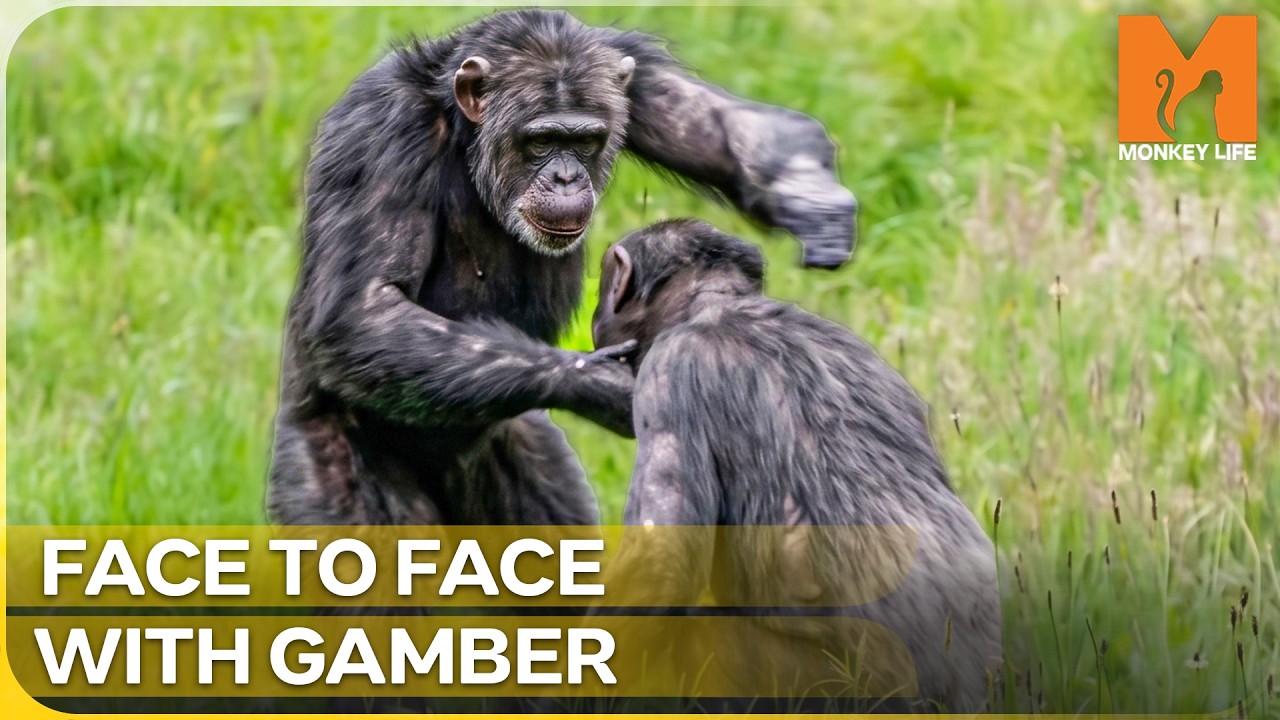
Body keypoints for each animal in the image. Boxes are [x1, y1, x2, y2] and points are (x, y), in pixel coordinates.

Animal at [267, 9, 858, 531]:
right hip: (331, 462)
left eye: (585, 141)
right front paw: (600, 383)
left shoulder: (625, 69)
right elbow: (363, 308)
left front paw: (810, 199)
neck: (461, 127)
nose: (568, 177)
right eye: (542, 141)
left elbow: (722, 126)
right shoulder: (381, 134)